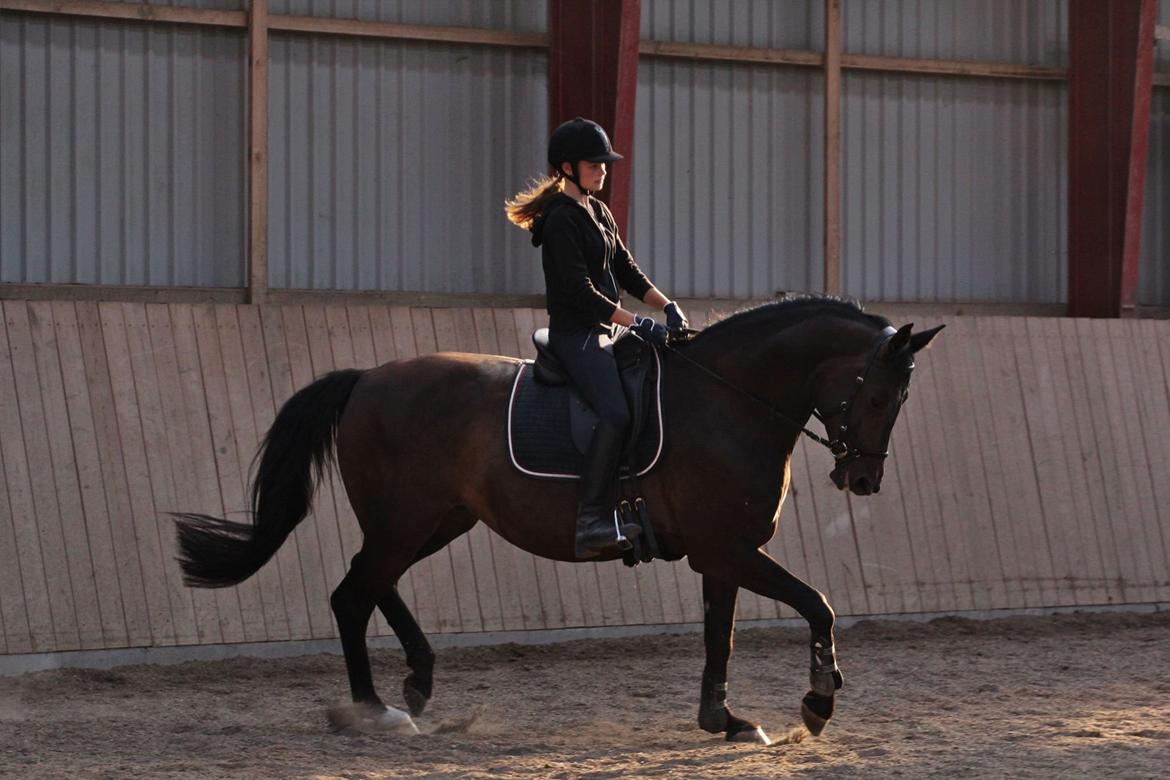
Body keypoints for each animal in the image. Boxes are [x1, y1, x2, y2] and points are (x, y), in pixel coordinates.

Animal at [173, 297, 940, 743]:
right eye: (878, 394)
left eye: (903, 399)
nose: (863, 479)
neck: (729, 401)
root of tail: (367, 378)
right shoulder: (729, 549)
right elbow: (820, 605)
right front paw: (817, 702)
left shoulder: (721, 554)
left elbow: (719, 637)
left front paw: (723, 719)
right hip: (405, 522)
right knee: (352, 595)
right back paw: (374, 710)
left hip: (435, 522)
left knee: (366, 585)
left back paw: (416, 683)